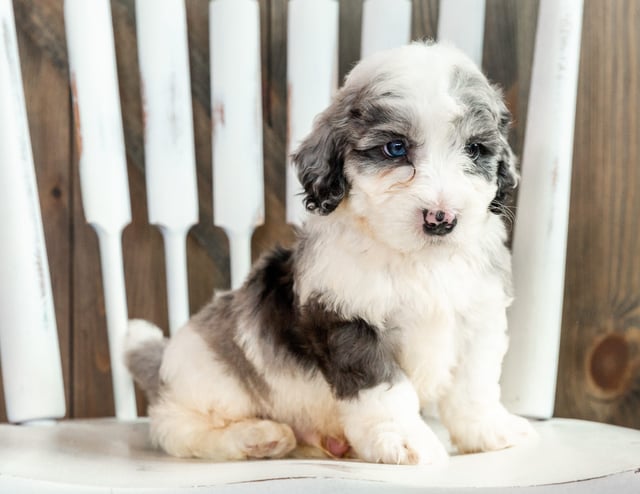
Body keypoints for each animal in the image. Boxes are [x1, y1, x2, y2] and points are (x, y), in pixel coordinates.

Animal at [125, 40, 536, 466]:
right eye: (395, 148)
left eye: (474, 149)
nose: (441, 218)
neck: (418, 258)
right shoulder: (348, 321)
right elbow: (385, 390)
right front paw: (404, 440)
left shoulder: (479, 315)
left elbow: (475, 385)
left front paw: (488, 430)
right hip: (207, 377)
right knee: (179, 429)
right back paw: (257, 437)